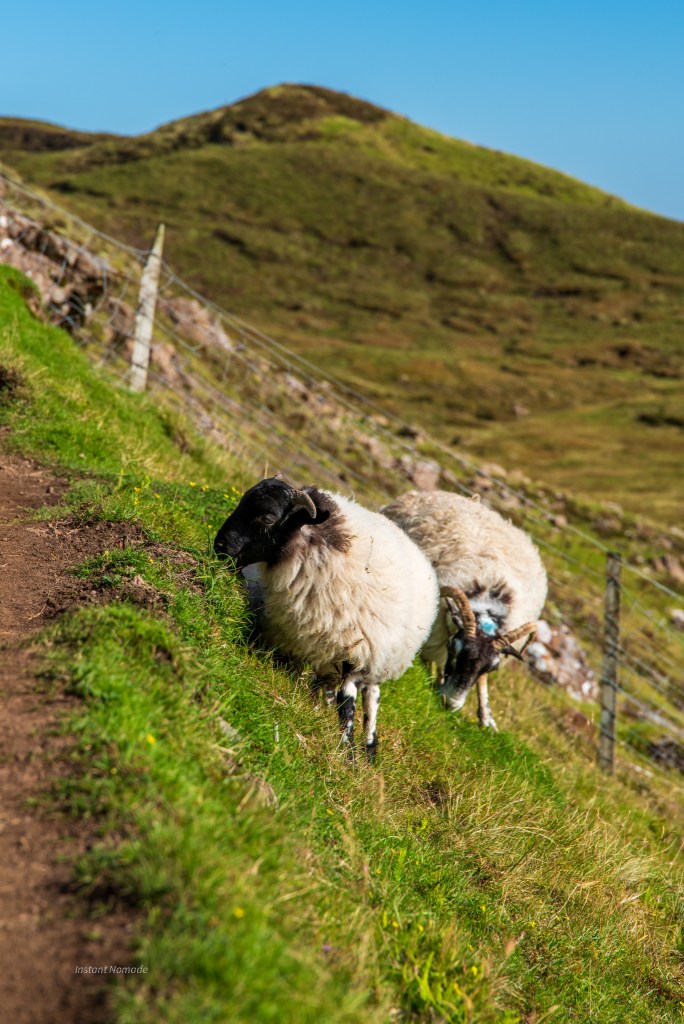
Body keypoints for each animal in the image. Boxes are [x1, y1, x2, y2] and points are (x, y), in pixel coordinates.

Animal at [213, 476, 440, 760]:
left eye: (267, 517)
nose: (219, 547)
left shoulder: (357, 654)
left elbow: (348, 704)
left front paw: (348, 753)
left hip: (379, 657)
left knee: (371, 696)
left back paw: (370, 747)